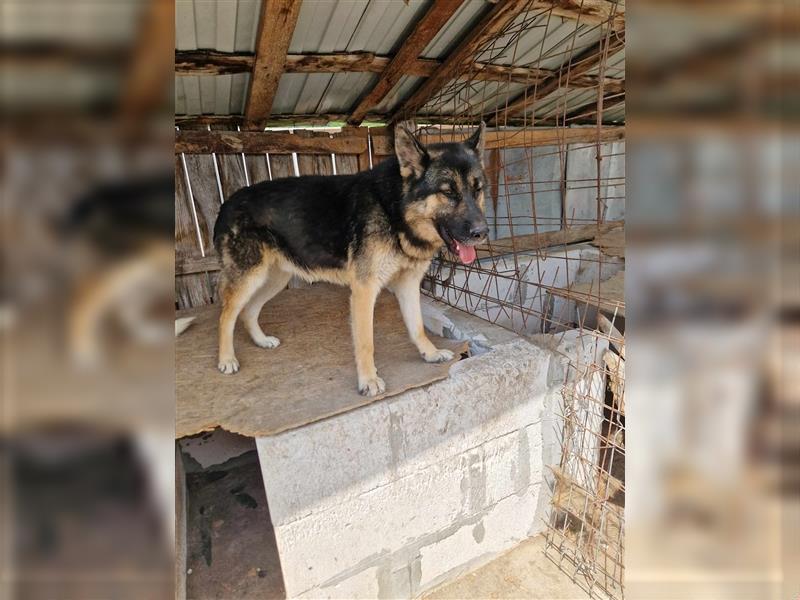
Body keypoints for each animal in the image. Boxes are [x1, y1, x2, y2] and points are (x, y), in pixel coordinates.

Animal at [212, 122, 488, 396]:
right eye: (448, 192)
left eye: (477, 190)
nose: (482, 232)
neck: (395, 210)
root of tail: (227, 202)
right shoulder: (364, 290)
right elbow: (366, 342)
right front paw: (368, 380)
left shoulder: (408, 286)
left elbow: (417, 325)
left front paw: (429, 353)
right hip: (249, 278)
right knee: (226, 316)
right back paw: (226, 359)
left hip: (273, 279)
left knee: (248, 311)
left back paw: (261, 341)